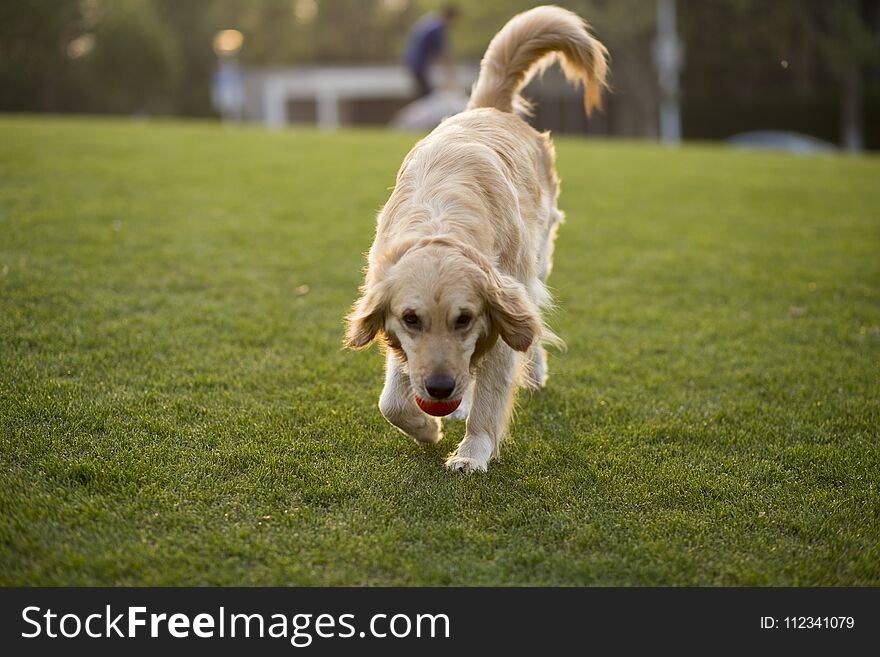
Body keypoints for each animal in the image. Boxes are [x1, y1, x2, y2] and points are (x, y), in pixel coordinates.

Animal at [344, 7, 604, 474]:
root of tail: (488, 107)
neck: (440, 224)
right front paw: (426, 428)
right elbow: (392, 401)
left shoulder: (504, 314)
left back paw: (530, 373)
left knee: (533, 322)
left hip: (538, 260)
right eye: (411, 319)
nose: (440, 388)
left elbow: (491, 395)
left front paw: (471, 453)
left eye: (464, 319)